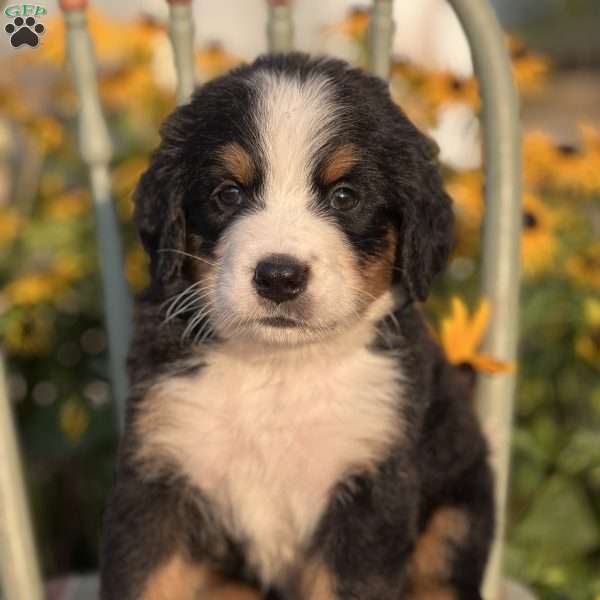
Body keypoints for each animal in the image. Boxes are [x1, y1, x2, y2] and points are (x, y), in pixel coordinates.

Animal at [99, 52, 492, 600]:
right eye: (228, 194)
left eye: (345, 196)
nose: (279, 277)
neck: (278, 368)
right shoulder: (159, 475)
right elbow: (144, 578)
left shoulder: (370, 488)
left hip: (458, 507)